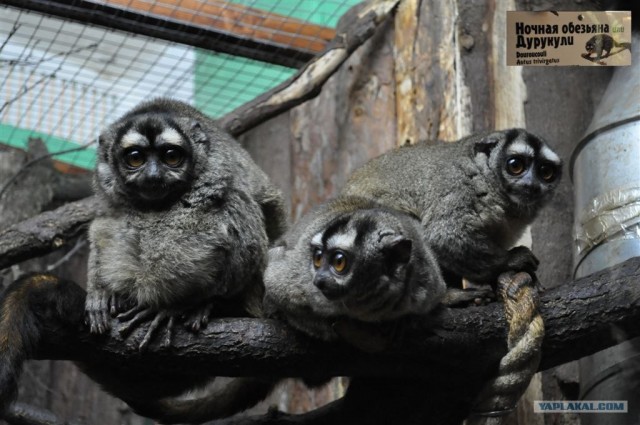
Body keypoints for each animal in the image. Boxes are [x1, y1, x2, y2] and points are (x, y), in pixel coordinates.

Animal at [86, 97, 286, 346]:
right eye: (135, 158)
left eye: (171, 156)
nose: (153, 175)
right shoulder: (106, 187)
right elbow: (102, 224)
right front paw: (100, 294)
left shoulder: (215, 170)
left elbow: (246, 243)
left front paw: (173, 305)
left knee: (236, 207)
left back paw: (204, 305)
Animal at [340, 128, 560, 288]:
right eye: (515, 165)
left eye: (546, 172)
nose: (531, 185)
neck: (488, 180)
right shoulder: (459, 188)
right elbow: (443, 237)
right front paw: (512, 259)